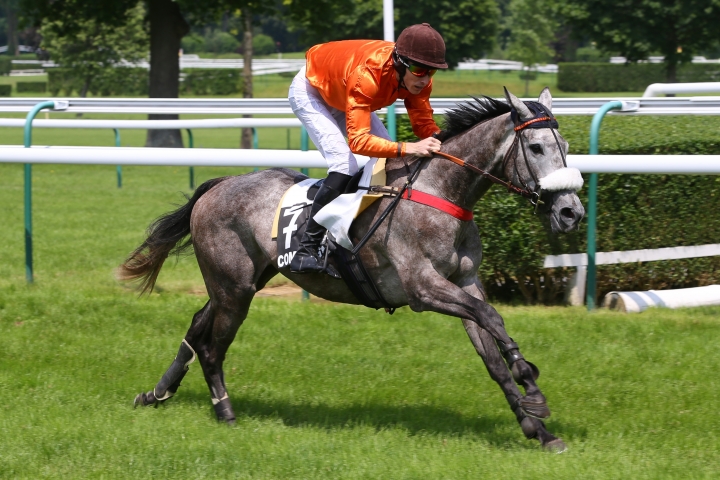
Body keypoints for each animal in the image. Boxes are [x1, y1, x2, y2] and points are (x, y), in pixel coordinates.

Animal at [122, 88, 584, 452]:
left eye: (564, 144)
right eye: (537, 148)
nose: (571, 212)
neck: (441, 193)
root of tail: (217, 185)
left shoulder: (465, 284)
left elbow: (491, 351)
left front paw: (538, 429)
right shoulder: (423, 288)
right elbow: (493, 318)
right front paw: (532, 385)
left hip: (242, 281)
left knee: (197, 325)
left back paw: (156, 392)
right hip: (234, 289)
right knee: (213, 348)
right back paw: (226, 412)